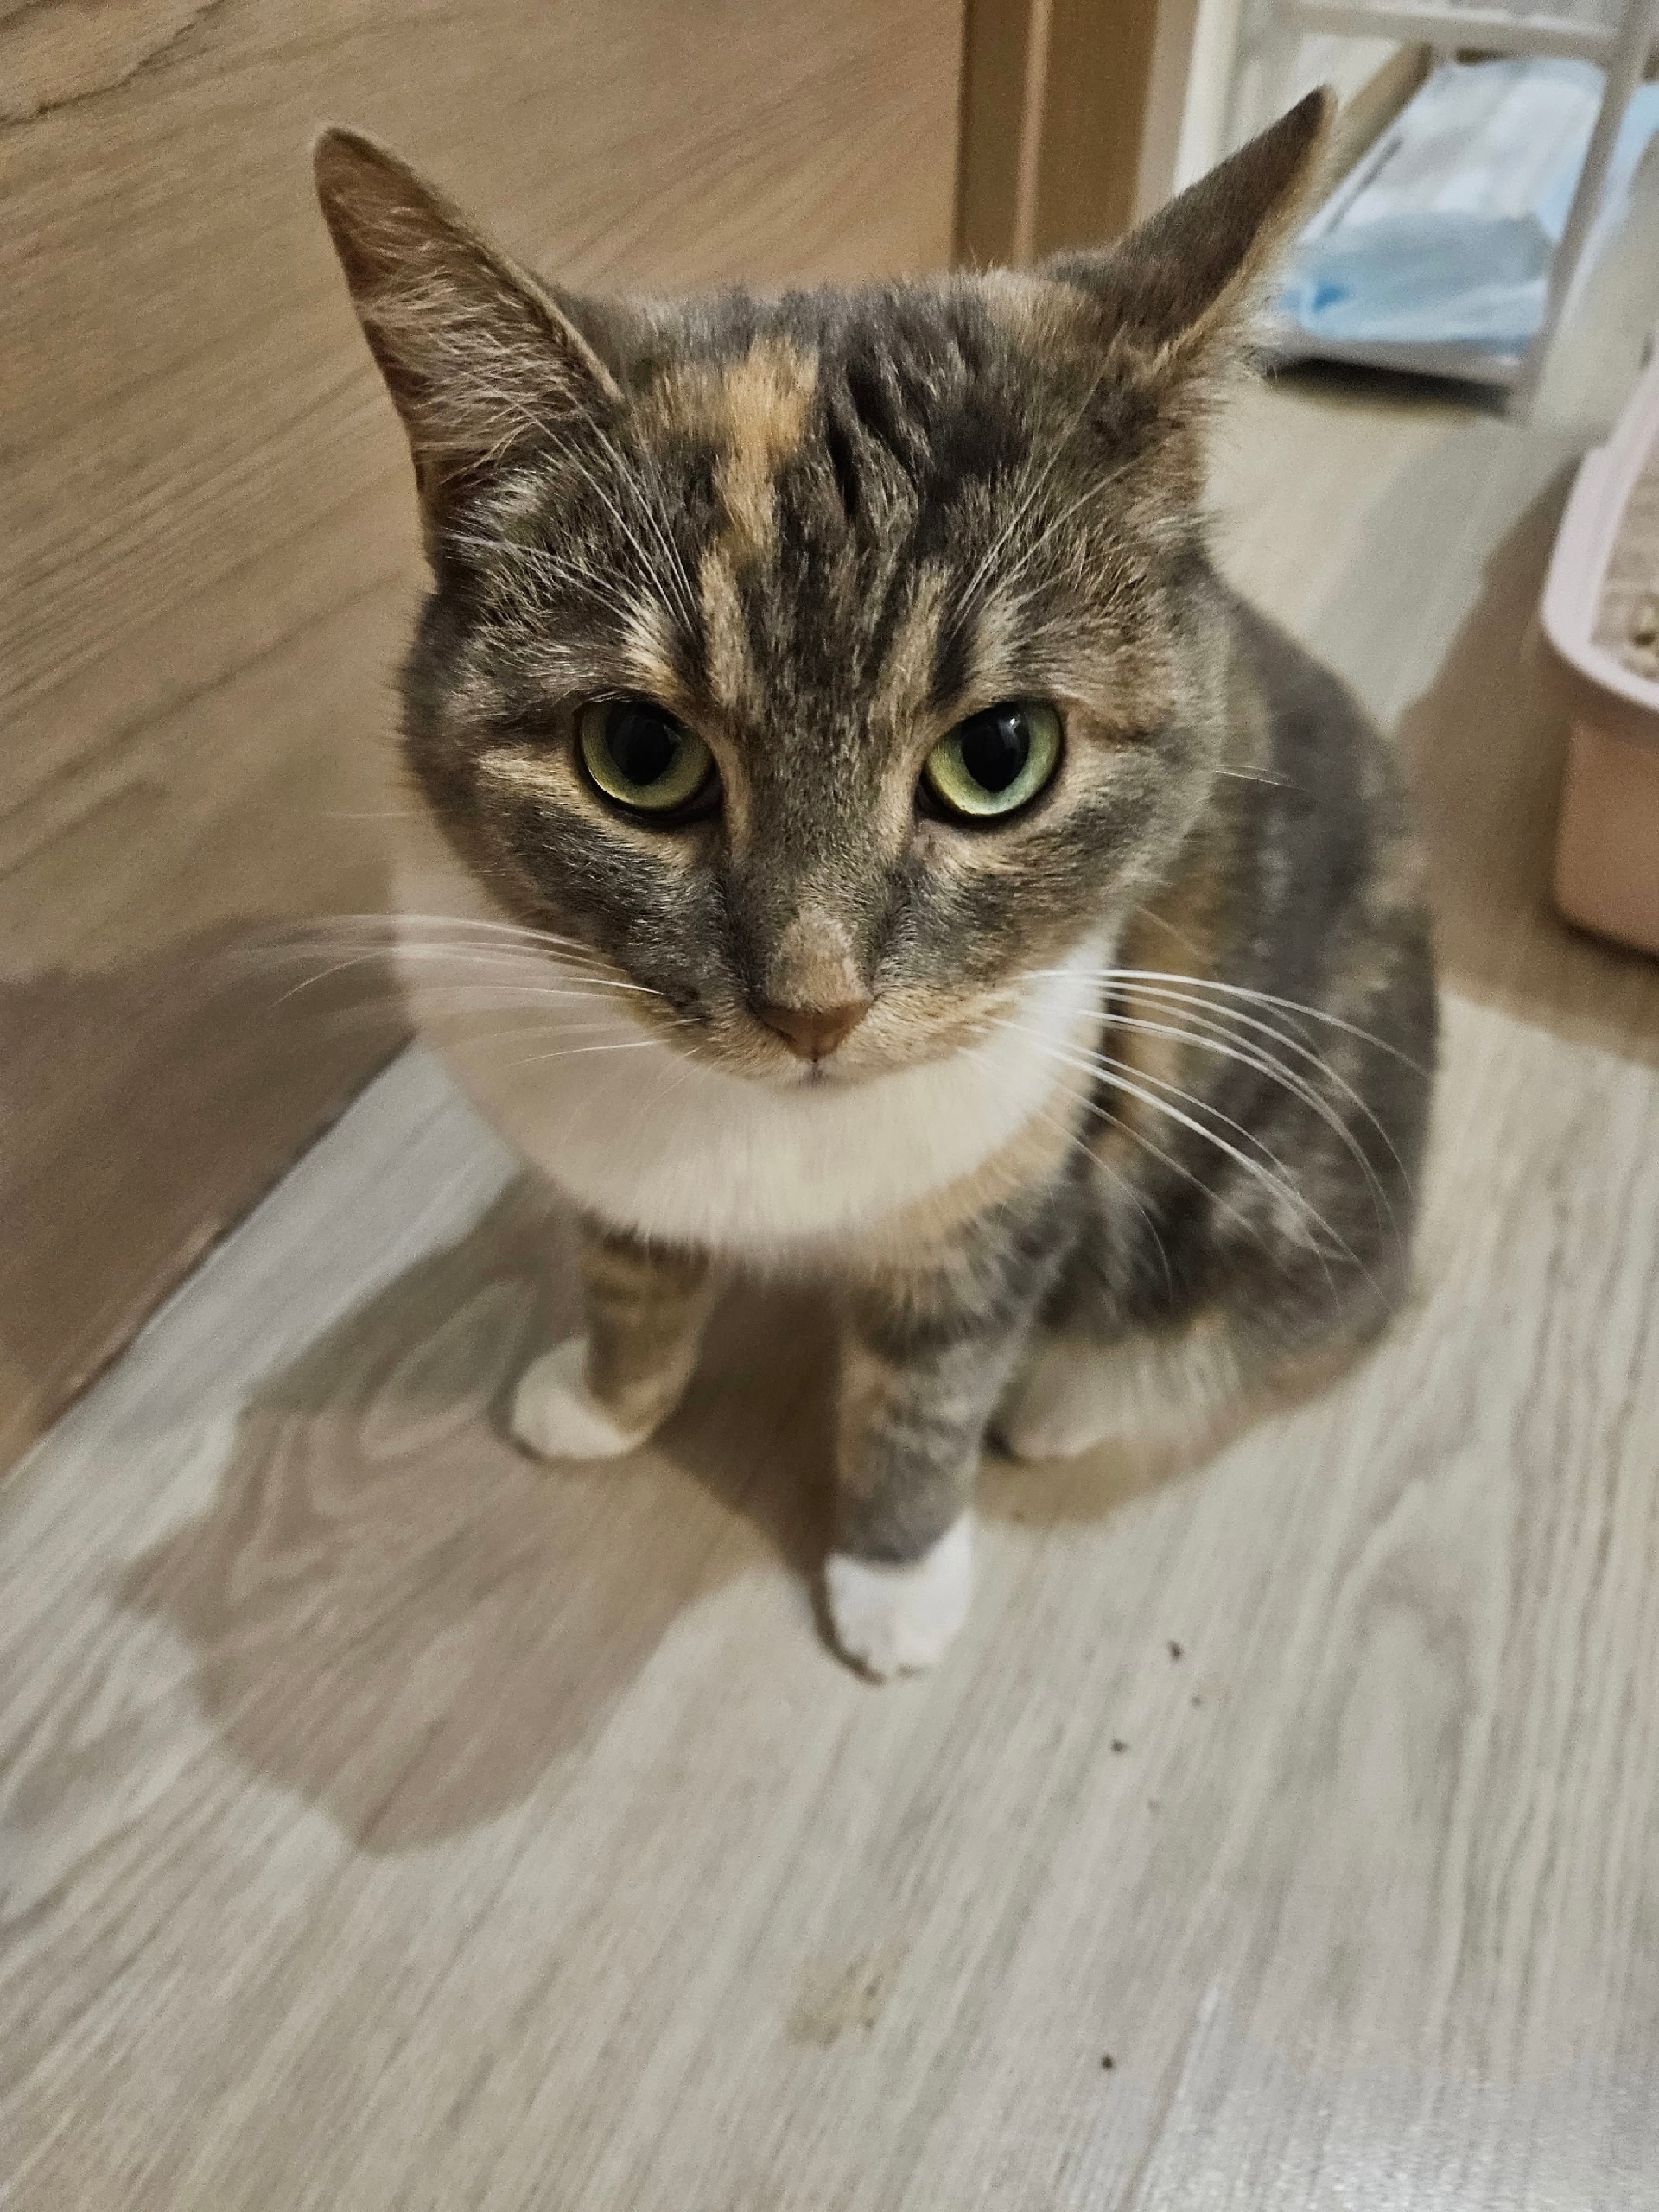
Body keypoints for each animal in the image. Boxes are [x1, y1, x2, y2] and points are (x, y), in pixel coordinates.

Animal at [314, 89, 1436, 1679]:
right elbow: (633, 1274)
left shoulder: (1019, 1173)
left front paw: (896, 1584)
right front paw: (604, 1403)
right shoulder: (615, 1165)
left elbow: (932, 1379)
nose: (815, 1008)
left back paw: (1065, 1403)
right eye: (638, 754)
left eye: (1002, 754)